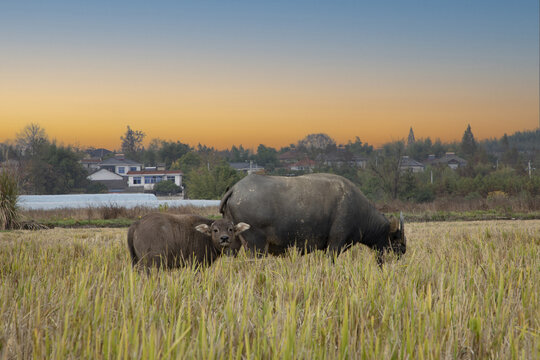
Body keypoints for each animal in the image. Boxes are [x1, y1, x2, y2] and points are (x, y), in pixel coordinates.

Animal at [219, 173, 404, 260]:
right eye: (396, 239)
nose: (403, 252)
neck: (360, 211)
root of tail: (235, 188)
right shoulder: (335, 245)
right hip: (256, 246)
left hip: (233, 244)